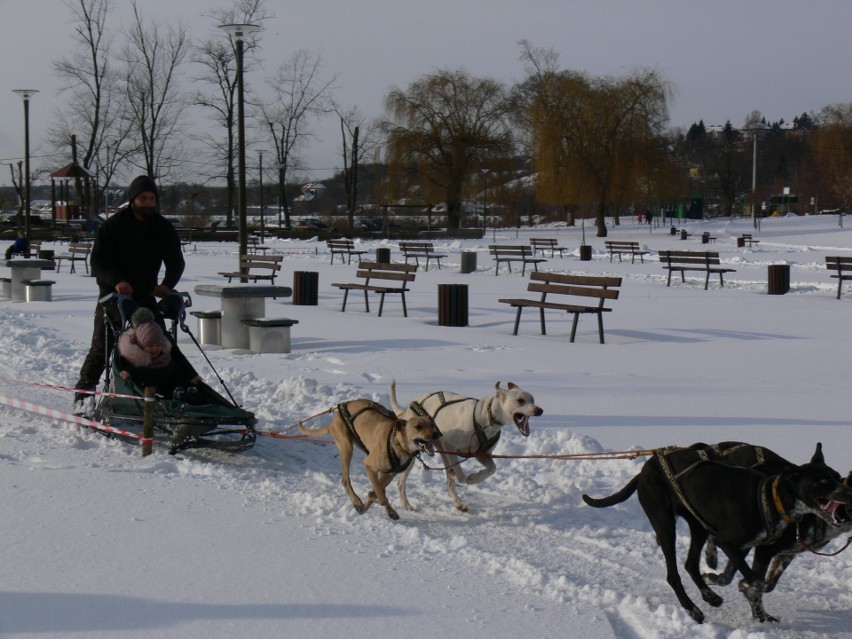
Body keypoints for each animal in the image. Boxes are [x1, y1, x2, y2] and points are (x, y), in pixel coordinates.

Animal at [300, 400, 442, 520]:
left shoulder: (389, 474)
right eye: (418, 426)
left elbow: (377, 491)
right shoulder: (369, 465)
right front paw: (373, 502)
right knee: (345, 480)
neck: (397, 444)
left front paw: (376, 504)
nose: (437, 434)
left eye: (432, 425)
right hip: (347, 448)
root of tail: (333, 421)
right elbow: (381, 496)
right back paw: (357, 501)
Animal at [390, 382, 544, 512]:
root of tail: (410, 407)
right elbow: (461, 476)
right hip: (415, 454)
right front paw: (466, 477)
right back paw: (405, 505)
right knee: (401, 483)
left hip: (443, 452)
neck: (485, 418)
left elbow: (492, 469)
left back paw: (458, 503)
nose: (540, 410)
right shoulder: (450, 445)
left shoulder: (482, 455)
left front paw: (475, 478)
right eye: (520, 400)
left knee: (449, 482)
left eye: (532, 399)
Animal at [584, 442, 852, 624]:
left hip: (698, 526)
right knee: (673, 574)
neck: (767, 498)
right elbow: (754, 580)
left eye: (838, 477)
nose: (848, 493)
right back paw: (693, 608)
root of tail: (646, 469)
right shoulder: (734, 543)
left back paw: (709, 595)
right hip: (665, 524)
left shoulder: (748, 547)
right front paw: (751, 595)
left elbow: (738, 575)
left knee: (690, 564)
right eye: (823, 482)